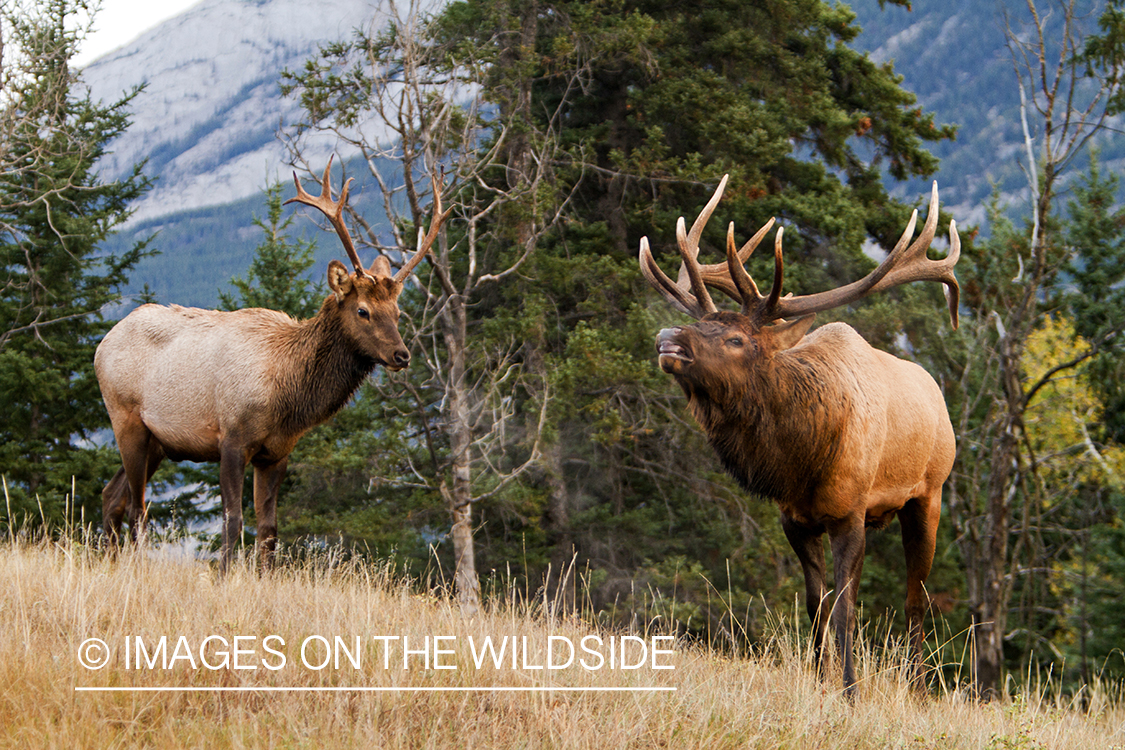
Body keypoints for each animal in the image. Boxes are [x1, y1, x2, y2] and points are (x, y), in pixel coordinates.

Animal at [95, 157, 447, 568]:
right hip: (126, 419)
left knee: (112, 496)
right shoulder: (231, 438)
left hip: (158, 442)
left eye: (398, 311)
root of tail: (102, 343)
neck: (287, 396)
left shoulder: (276, 453)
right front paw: (223, 573)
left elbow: (269, 529)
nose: (401, 355)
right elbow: (233, 520)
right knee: (137, 507)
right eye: (363, 310)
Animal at [643, 176, 958, 697]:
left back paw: (916, 686)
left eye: (737, 339)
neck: (803, 460)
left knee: (917, 598)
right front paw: (818, 681)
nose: (668, 337)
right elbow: (817, 605)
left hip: (927, 494)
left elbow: (847, 608)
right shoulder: (795, 518)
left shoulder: (850, 512)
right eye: (704, 324)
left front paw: (850, 691)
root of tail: (939, 396)